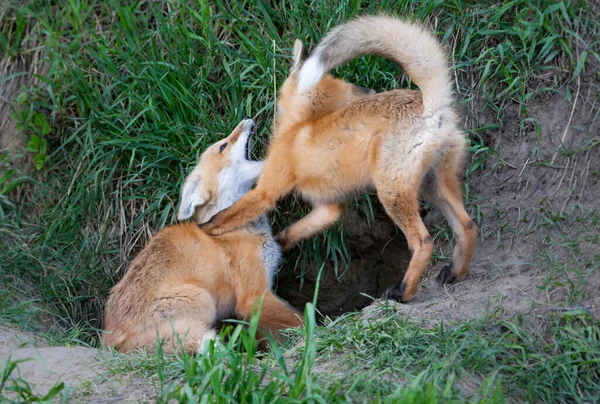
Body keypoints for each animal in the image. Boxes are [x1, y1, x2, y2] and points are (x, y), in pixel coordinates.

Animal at [101, 120, 304, 354]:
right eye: (223, 146)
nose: (247, 120)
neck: (229, 228)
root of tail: (110, 341)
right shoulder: (252, 297)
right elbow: (299, 318)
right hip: (202, 299)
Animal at [202, 16, 478, 304]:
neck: (299, 126)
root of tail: (429, 105)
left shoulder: (267, 191)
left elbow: (223, 217)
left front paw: (198, 228)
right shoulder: (329, 208)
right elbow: (291, 232)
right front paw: (279, 247)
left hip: (392, 194)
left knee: (424, 242)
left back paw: (403, 292)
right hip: (434, 185)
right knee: (468, 226)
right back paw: (456, 273)